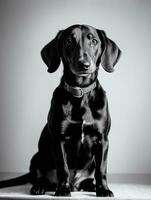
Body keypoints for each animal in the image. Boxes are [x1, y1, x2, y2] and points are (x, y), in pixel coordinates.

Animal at [0, 24, 121, 197]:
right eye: (69, 41)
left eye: (94, 41)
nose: (84, 64)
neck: (81, 92)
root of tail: (76, 185)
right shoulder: (59, 139)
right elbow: (63, 168)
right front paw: (63, 189)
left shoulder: (102, 139)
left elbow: (101, 169)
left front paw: (103, 189)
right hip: (37, 158)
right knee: (41, 177)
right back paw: (40, 186)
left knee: (88, 179)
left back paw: (91, 186)